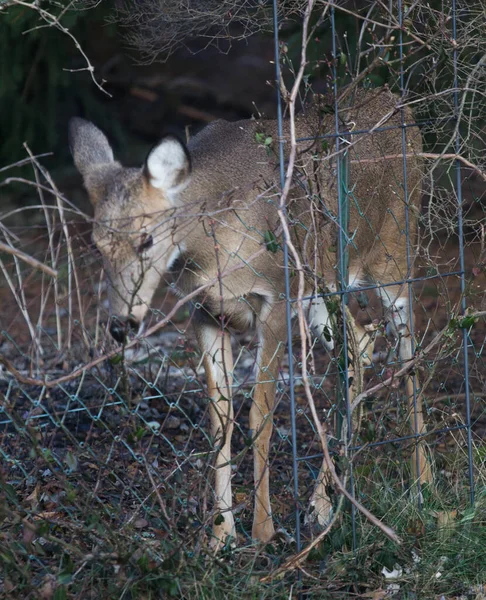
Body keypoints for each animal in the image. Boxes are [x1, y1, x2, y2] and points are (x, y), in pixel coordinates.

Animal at [69, 86, 430, 552]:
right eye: (97, 243)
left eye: (147, 239)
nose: (121, 324)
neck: (210, 252)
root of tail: (401, 106)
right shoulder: (205, 311)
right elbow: (219, 416)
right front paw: (220, 536)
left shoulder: (275, 297)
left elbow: (261, 415)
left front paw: (262, 531)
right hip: (322, 290)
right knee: (360, 346)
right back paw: (323, 504)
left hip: (394, 253)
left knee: (407, 351)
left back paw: (421, 486)